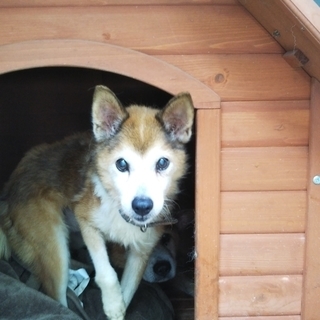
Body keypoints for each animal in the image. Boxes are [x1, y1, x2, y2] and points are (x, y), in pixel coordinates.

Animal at [0, 85, 195, 320]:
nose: (142, 207)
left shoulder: (141, 253)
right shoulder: (86, 221)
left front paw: (118, 309)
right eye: (121, 164)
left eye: (163, 163)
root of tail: (9, 188)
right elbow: (106, 272)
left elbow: (128, 291)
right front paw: (112, 303)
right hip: (55, 249)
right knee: (58, 296)